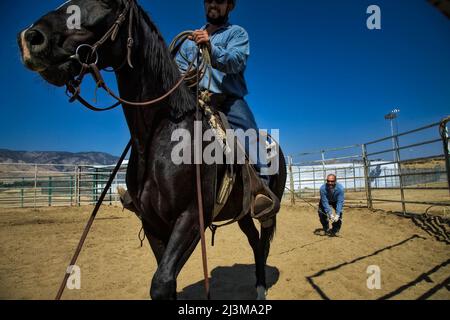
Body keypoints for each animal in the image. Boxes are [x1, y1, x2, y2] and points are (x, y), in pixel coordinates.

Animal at [19, 0, 286, 300]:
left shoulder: (191, 217)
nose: (32, 37)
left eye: (108, 4)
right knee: (254, 241)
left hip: (266, 210)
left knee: (262, 243)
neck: (162, 137)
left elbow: (162, 282)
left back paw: (261, 289)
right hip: (241, 213)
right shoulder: (152, 222)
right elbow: (167, 279)